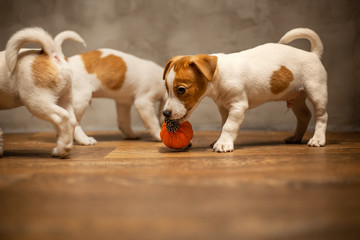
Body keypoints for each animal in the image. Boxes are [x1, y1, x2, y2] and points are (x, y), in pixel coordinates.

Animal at [0, 27, 86, 158]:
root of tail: (51, 53)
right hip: (63, 99)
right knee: (71, 120)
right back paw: (62, 147)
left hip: (36, 102)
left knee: (62, 117)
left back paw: (62, 149)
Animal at [165, 27, 328, 152]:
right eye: (167, 88)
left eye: (181, 90)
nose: (165, 113)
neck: (219, 75)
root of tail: (313, 54)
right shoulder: (224, 108)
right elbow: (224, 124)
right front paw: (221, 140)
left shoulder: (238, 106)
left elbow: (229, 126)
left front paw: (223, 144)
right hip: (296, 98)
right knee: (304, 116)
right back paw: (295, 138)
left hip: (316, 92)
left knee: (321, 116)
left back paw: (318, 139)